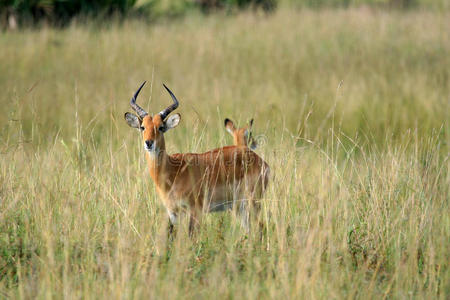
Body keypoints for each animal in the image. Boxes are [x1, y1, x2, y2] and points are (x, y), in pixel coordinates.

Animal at [125, 82, 268, 234]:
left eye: (161, 127)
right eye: (142, 127)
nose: (149, 143)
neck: (173, 171)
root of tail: (262, 162)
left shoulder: (196, 211)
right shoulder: (173, 213)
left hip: (251, 203)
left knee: (260, 227)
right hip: (239, 208)